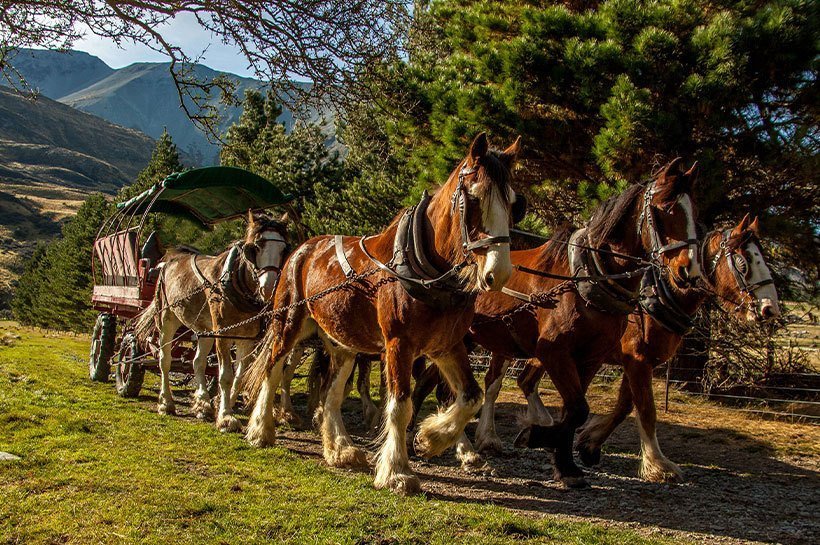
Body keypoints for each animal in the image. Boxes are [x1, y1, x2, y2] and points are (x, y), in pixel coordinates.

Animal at [140, 211, 292, 430]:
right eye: (255, 247)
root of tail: (169, 258)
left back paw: (203, 404)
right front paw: (226, 417)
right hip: (167, 318)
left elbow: (239, 376)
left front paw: (220, 404)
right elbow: (225, 375)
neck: (236, 283)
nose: (269, 286)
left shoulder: (247, 338)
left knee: (198, 362)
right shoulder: (223, 333)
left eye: (284, 249)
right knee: (164, 360)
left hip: (204, 329)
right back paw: (166, 402)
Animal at [243, 134, 524, 496]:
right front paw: (397, 471)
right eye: (474, 199)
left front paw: (431, 439)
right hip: (288, 325)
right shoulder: (398, 345)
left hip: (343, 344)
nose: (497, 273)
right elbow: (400, 405)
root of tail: (301, 250)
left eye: (513, 203)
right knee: (273, 369)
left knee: (332, 393)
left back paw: (340, 450)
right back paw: (261, 431)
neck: (425, 268)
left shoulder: (446, 346)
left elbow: (471, 397)